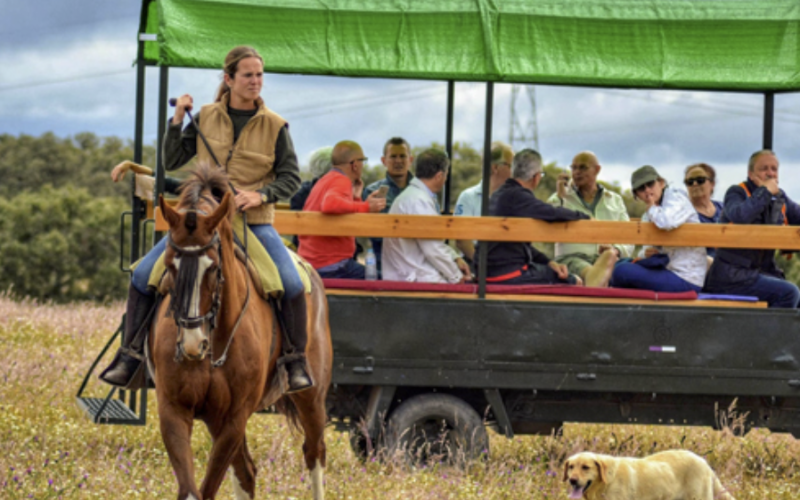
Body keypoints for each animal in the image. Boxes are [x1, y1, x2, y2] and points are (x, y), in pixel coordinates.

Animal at [149, 167, 332, 500]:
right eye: (170, 264)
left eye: (213, 267)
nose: (192, 344)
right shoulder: (174, 410)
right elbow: (193, 490)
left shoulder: (234, 417)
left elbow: (208, 488)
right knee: (245, 472)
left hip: (311, 398)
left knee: (315, 454)